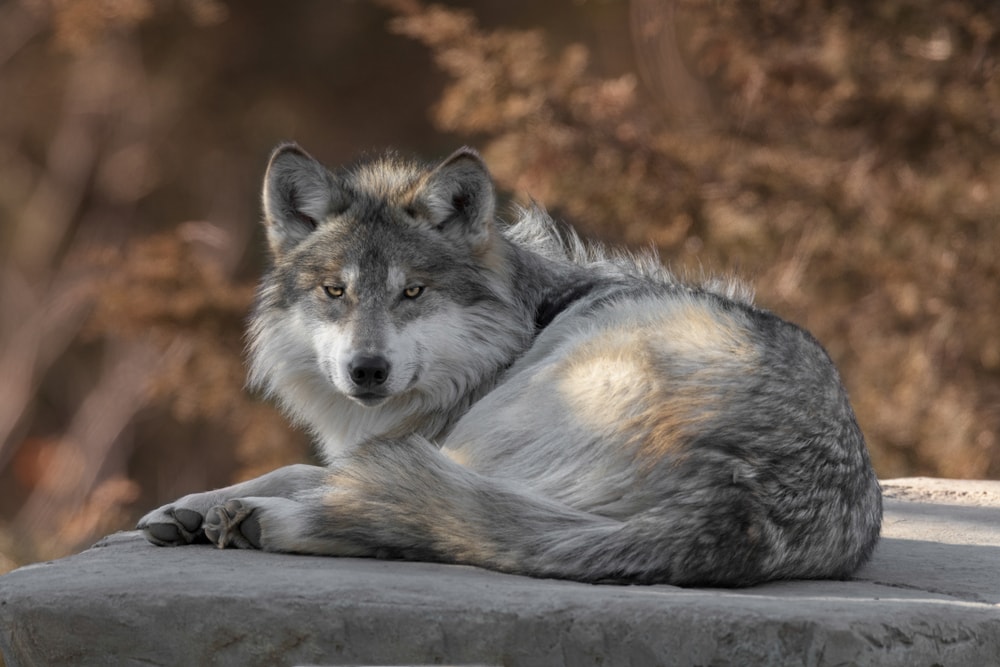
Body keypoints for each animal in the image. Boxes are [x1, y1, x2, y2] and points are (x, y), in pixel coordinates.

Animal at [137, 143, 882, 586]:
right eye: (335, 292)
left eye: (414, 292)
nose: (366, 371)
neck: (515, 333)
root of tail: (746, 502)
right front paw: (185, 509)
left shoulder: (423, 434)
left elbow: (306, 469)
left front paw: (215, 504)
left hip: (506, 429)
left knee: (419, 514)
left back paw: (263, 519)